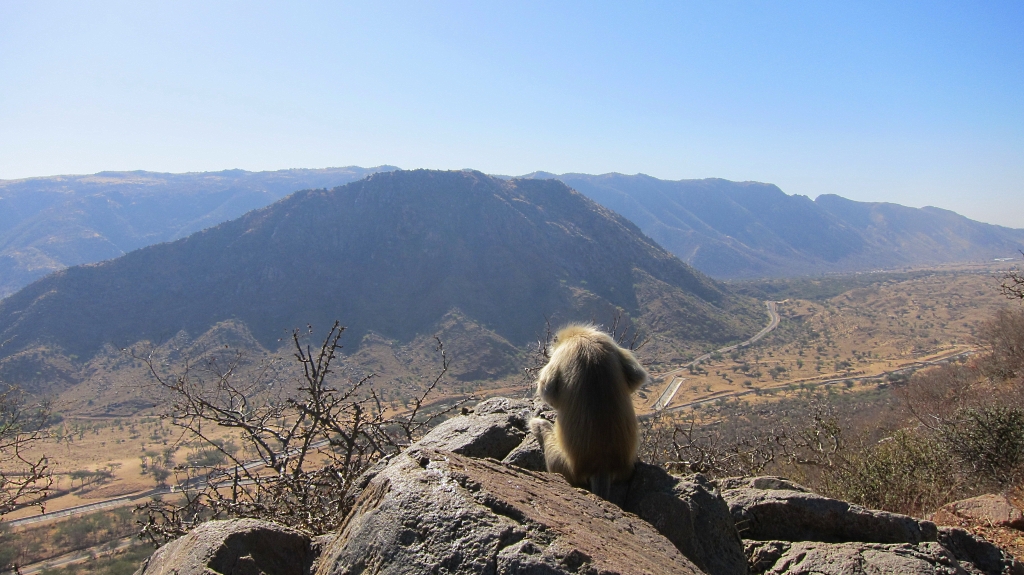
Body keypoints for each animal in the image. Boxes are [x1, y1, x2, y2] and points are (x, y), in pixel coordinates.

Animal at [528, 323, 647, 497]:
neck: (579, 336)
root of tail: (602, 466)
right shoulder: (606, 340)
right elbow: (637, 377)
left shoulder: (561, 353)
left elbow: (548, 392)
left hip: (563, 464)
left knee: (541, 427)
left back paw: (538, 425)